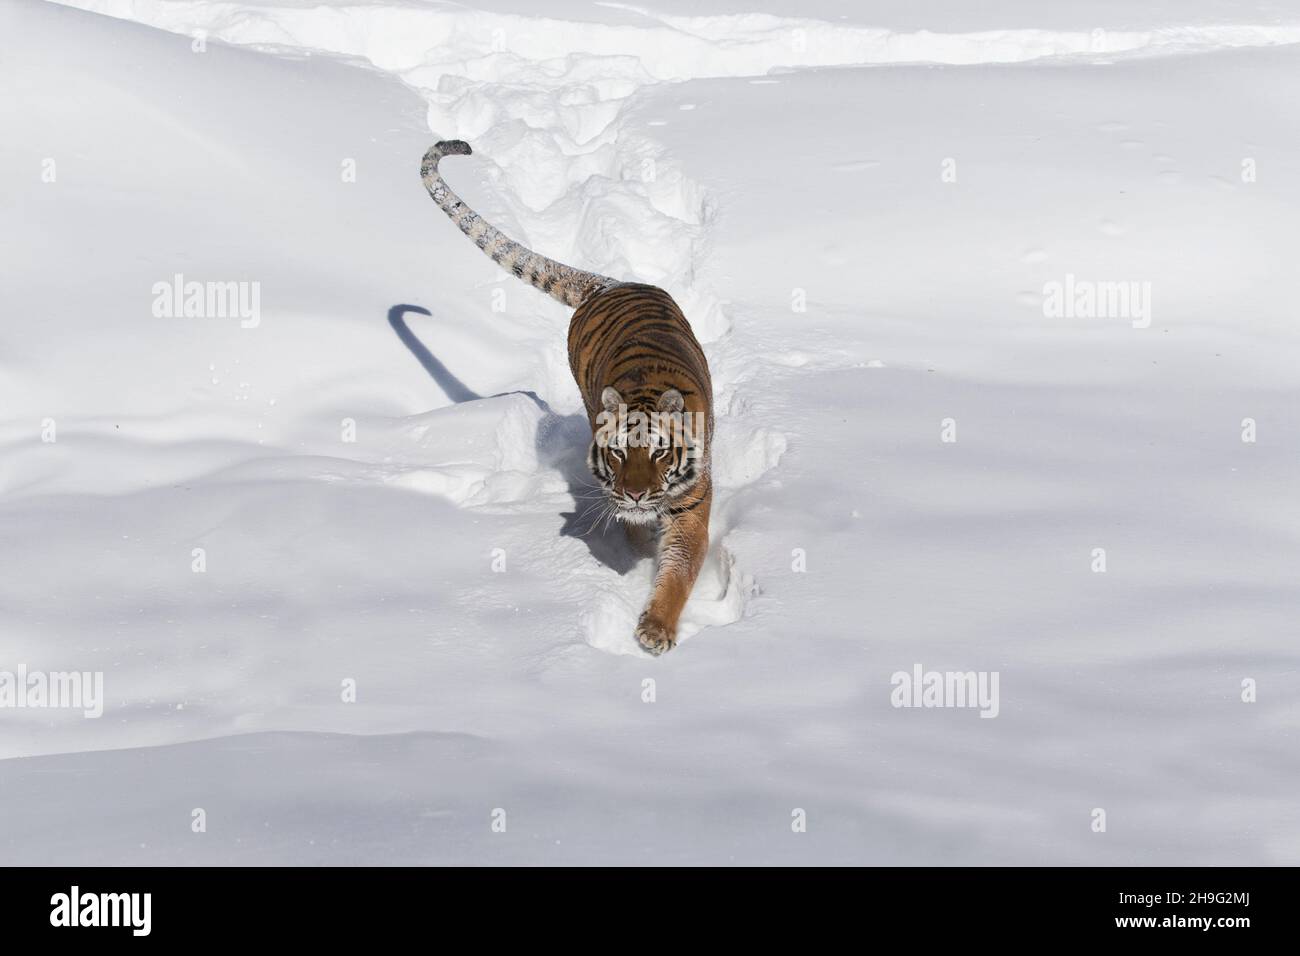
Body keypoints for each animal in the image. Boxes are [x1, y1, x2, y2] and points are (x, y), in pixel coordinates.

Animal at [419, 140, 714, 655]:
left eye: (659, 453)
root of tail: (605, 283)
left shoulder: (692, 505)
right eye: (618, 454)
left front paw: (655, 629)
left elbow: (680, 569)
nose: (635, 494)